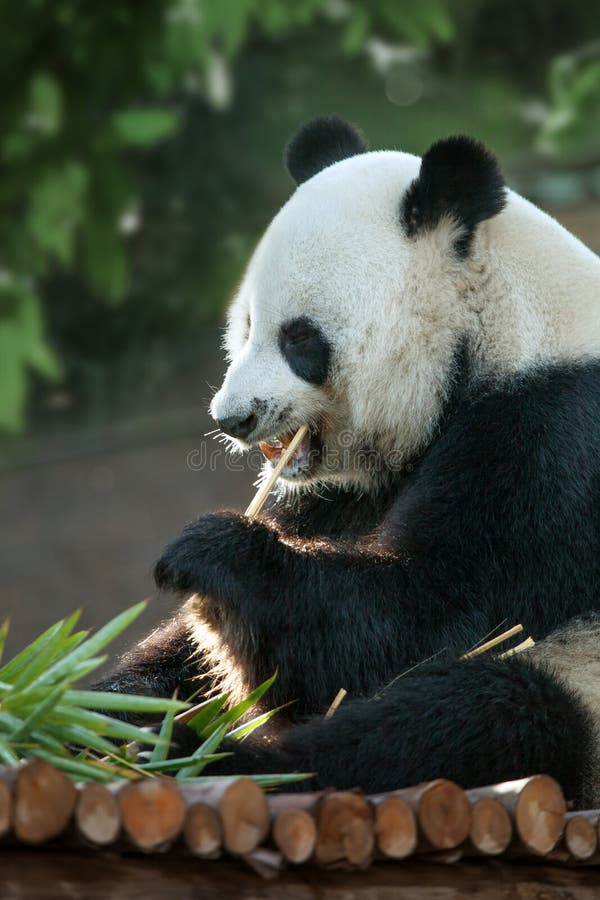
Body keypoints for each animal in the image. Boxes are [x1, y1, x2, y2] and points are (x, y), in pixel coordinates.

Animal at [99, 116, 600, 807]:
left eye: (300, 338)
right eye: (246, 325)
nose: (233, 419)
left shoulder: (555, 440)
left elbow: (428, 622)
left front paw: (210, 554)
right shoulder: (339, 495)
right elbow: (181, 662)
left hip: (580, 683)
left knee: (472, 716)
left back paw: (200, 760)